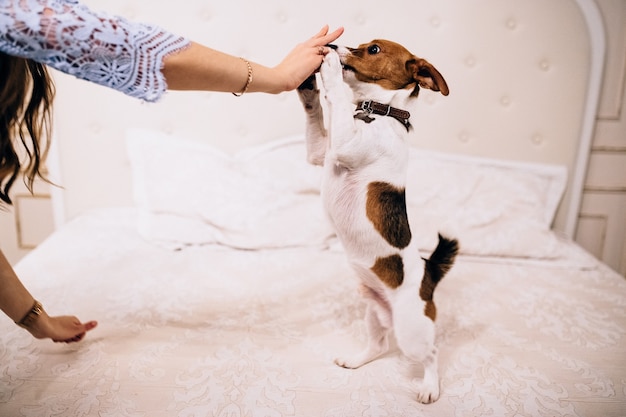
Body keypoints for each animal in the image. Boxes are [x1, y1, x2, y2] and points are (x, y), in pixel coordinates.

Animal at [294, 39, 456, 404]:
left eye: (374, 49)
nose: (334, 44)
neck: (378, 114)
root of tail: (429, 275)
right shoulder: (322, 151)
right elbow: (316, 111)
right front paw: (309, 85)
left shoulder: (345, 145)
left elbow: (337, 99)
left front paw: (330, 69)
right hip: (374, 314)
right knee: (379, 345)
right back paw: (356, 360)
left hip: (411, 332)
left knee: (432, 353)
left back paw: (429, 387)